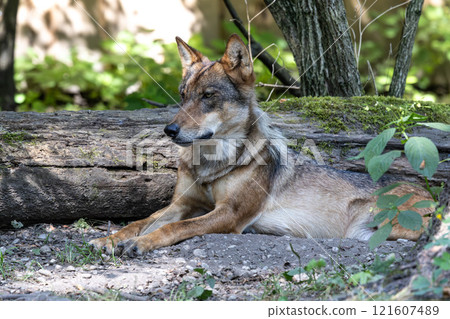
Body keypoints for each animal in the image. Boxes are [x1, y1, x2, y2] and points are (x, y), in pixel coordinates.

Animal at [89, 34, 432, 258]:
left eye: (208, 96)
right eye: (183, 95)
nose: (169, 130)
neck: (212, 163)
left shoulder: (229, 214)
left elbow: (171, 230)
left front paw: (139, 244)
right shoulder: (182, 204)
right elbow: (140, 222)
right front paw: (110, 239)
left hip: (384, 220)